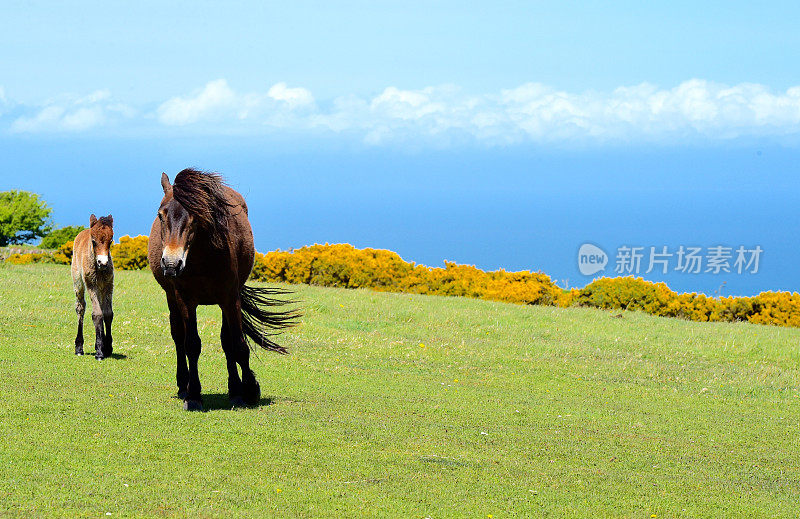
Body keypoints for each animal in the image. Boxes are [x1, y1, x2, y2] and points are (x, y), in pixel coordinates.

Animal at [71, 213, 114, 360]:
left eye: (111, 241)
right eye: (94, 242)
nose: (103, 262)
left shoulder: (108, 285)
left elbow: (107, 314)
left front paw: (107, 347)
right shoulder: (91, 285)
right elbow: (97, 314)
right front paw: (100, 352)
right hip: (78, 281)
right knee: (80, 307)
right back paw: (79, 347)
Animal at [147, 169, 296, 412]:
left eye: (195, 217)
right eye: (161, 215)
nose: (171, 264)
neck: (202, 257)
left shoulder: (230, 299)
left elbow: (237, 344)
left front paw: (248, 390)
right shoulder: (185, 300)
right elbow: (191, 345)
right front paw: (194, 396)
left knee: (227, 341)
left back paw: (235, 389)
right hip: (172, 298)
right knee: (178, 337)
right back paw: (183, 386)